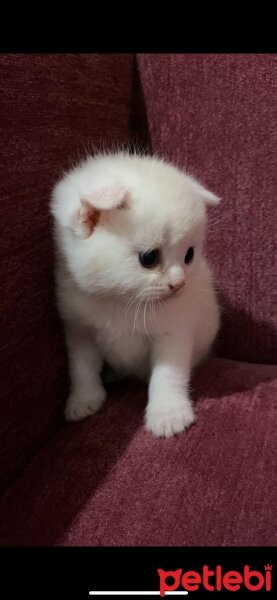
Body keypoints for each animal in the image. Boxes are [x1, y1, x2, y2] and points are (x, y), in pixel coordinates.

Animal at [50, 152, 220, 438]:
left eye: (189, 255)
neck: (121, 301)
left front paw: (168, 414)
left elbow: (168, 373)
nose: (179, 284)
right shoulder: (78, 328)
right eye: (148, 258)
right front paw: (84, 399)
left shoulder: (173, 332)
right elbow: (82, 367)